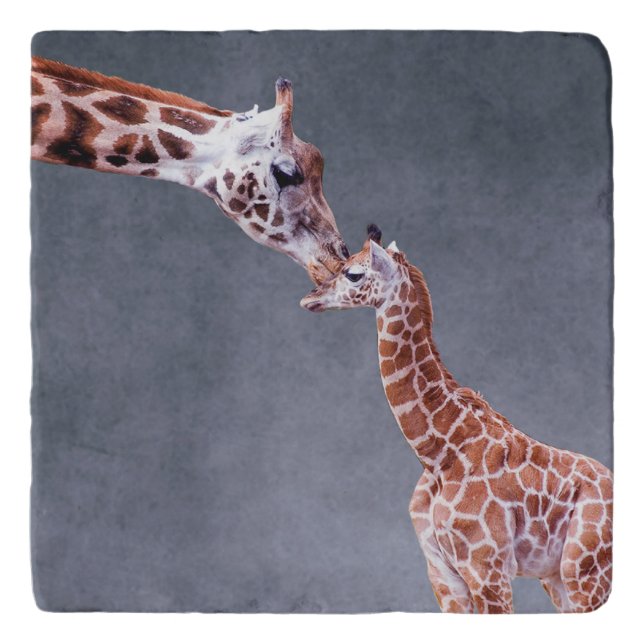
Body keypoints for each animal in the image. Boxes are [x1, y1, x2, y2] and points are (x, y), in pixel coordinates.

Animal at [300, 225, 613, 614]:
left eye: (353, 273)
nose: (310, 298)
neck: (438, 453)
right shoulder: (442, 574)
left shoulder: (487, 569)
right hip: (557, 578)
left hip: (585, 571)